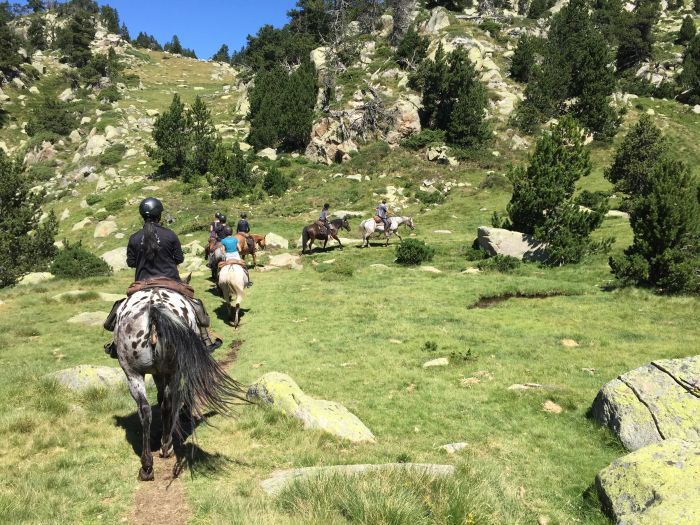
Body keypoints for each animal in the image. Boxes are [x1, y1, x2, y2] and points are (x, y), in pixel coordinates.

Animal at [115, 288, 246, 482]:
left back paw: (152, 460)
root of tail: (153, 310)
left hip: (136, 373)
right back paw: (157, 454)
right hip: (153, 372)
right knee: (160, 406)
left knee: (151, 409)